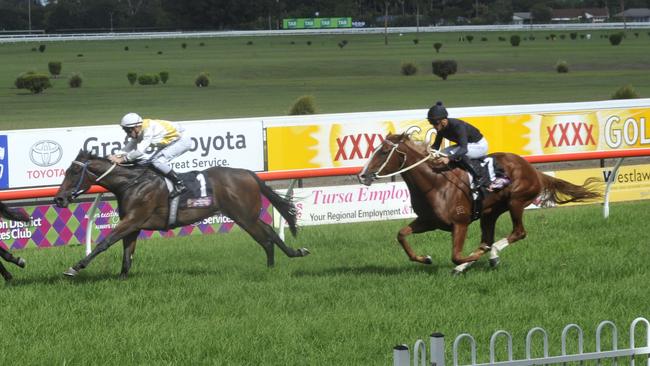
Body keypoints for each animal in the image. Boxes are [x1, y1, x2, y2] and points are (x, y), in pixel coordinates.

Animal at [53, 150, 308, 278]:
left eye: (73, 172)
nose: (58, 199)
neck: (132, 183)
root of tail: (249, 174)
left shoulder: (133, 219)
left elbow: (104, 242)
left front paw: (74, 268)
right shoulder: (134, 226)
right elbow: (127, 256)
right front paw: (122, 278)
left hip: (244, 216)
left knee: (265, 237)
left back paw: (273, 265)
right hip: (247, 214)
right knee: (270, 233)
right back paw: (290, 255)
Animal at [356, 133, 600, 274]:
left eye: (384, 152)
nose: (362, 175)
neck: (435, 183)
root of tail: (532, 170)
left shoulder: (460, 222)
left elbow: (455, 254)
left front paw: (467, 259)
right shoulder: (428, 221)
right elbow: (401, 235)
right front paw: (425, 258)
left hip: (516, 201)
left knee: (517, 233)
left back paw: (490, 256)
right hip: (489, 212)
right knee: (486, 240)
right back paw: (477, 260)